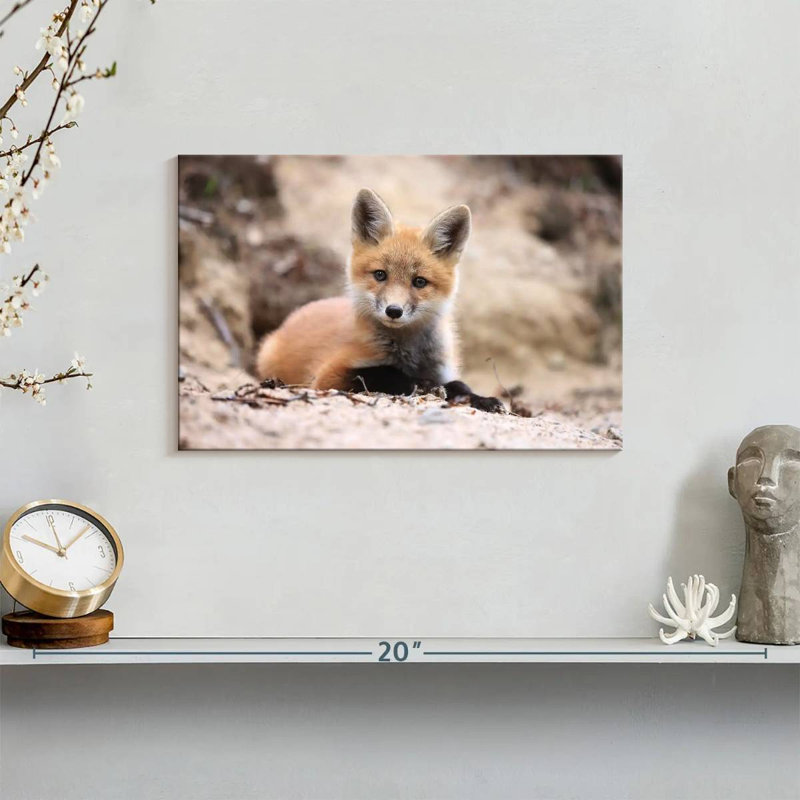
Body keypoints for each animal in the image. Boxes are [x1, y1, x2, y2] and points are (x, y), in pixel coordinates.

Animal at [255, 188, 504, 413]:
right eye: (380, 275)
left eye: (419, 281)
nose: (393, 311)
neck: (410, 355)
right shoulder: (328, 376)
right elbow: (384, 373)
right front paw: (424, 385)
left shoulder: (443, 370)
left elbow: (460, 385)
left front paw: (483, 399)